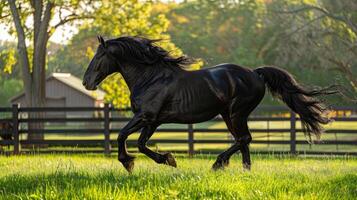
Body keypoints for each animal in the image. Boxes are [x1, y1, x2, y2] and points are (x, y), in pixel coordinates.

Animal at [82, 35, 334, 172]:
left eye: (99, 56)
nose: (87, 82)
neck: (151, 77)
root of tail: (255, 73)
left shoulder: (146, 117)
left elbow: (122, 136)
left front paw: (129, 163)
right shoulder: (153, 121)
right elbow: (142, 144)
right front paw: (168, 159)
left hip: (236, 113)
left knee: (243, 139)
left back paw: (218, 163)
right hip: (229, 115)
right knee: (244, 141)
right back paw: (244, 171)